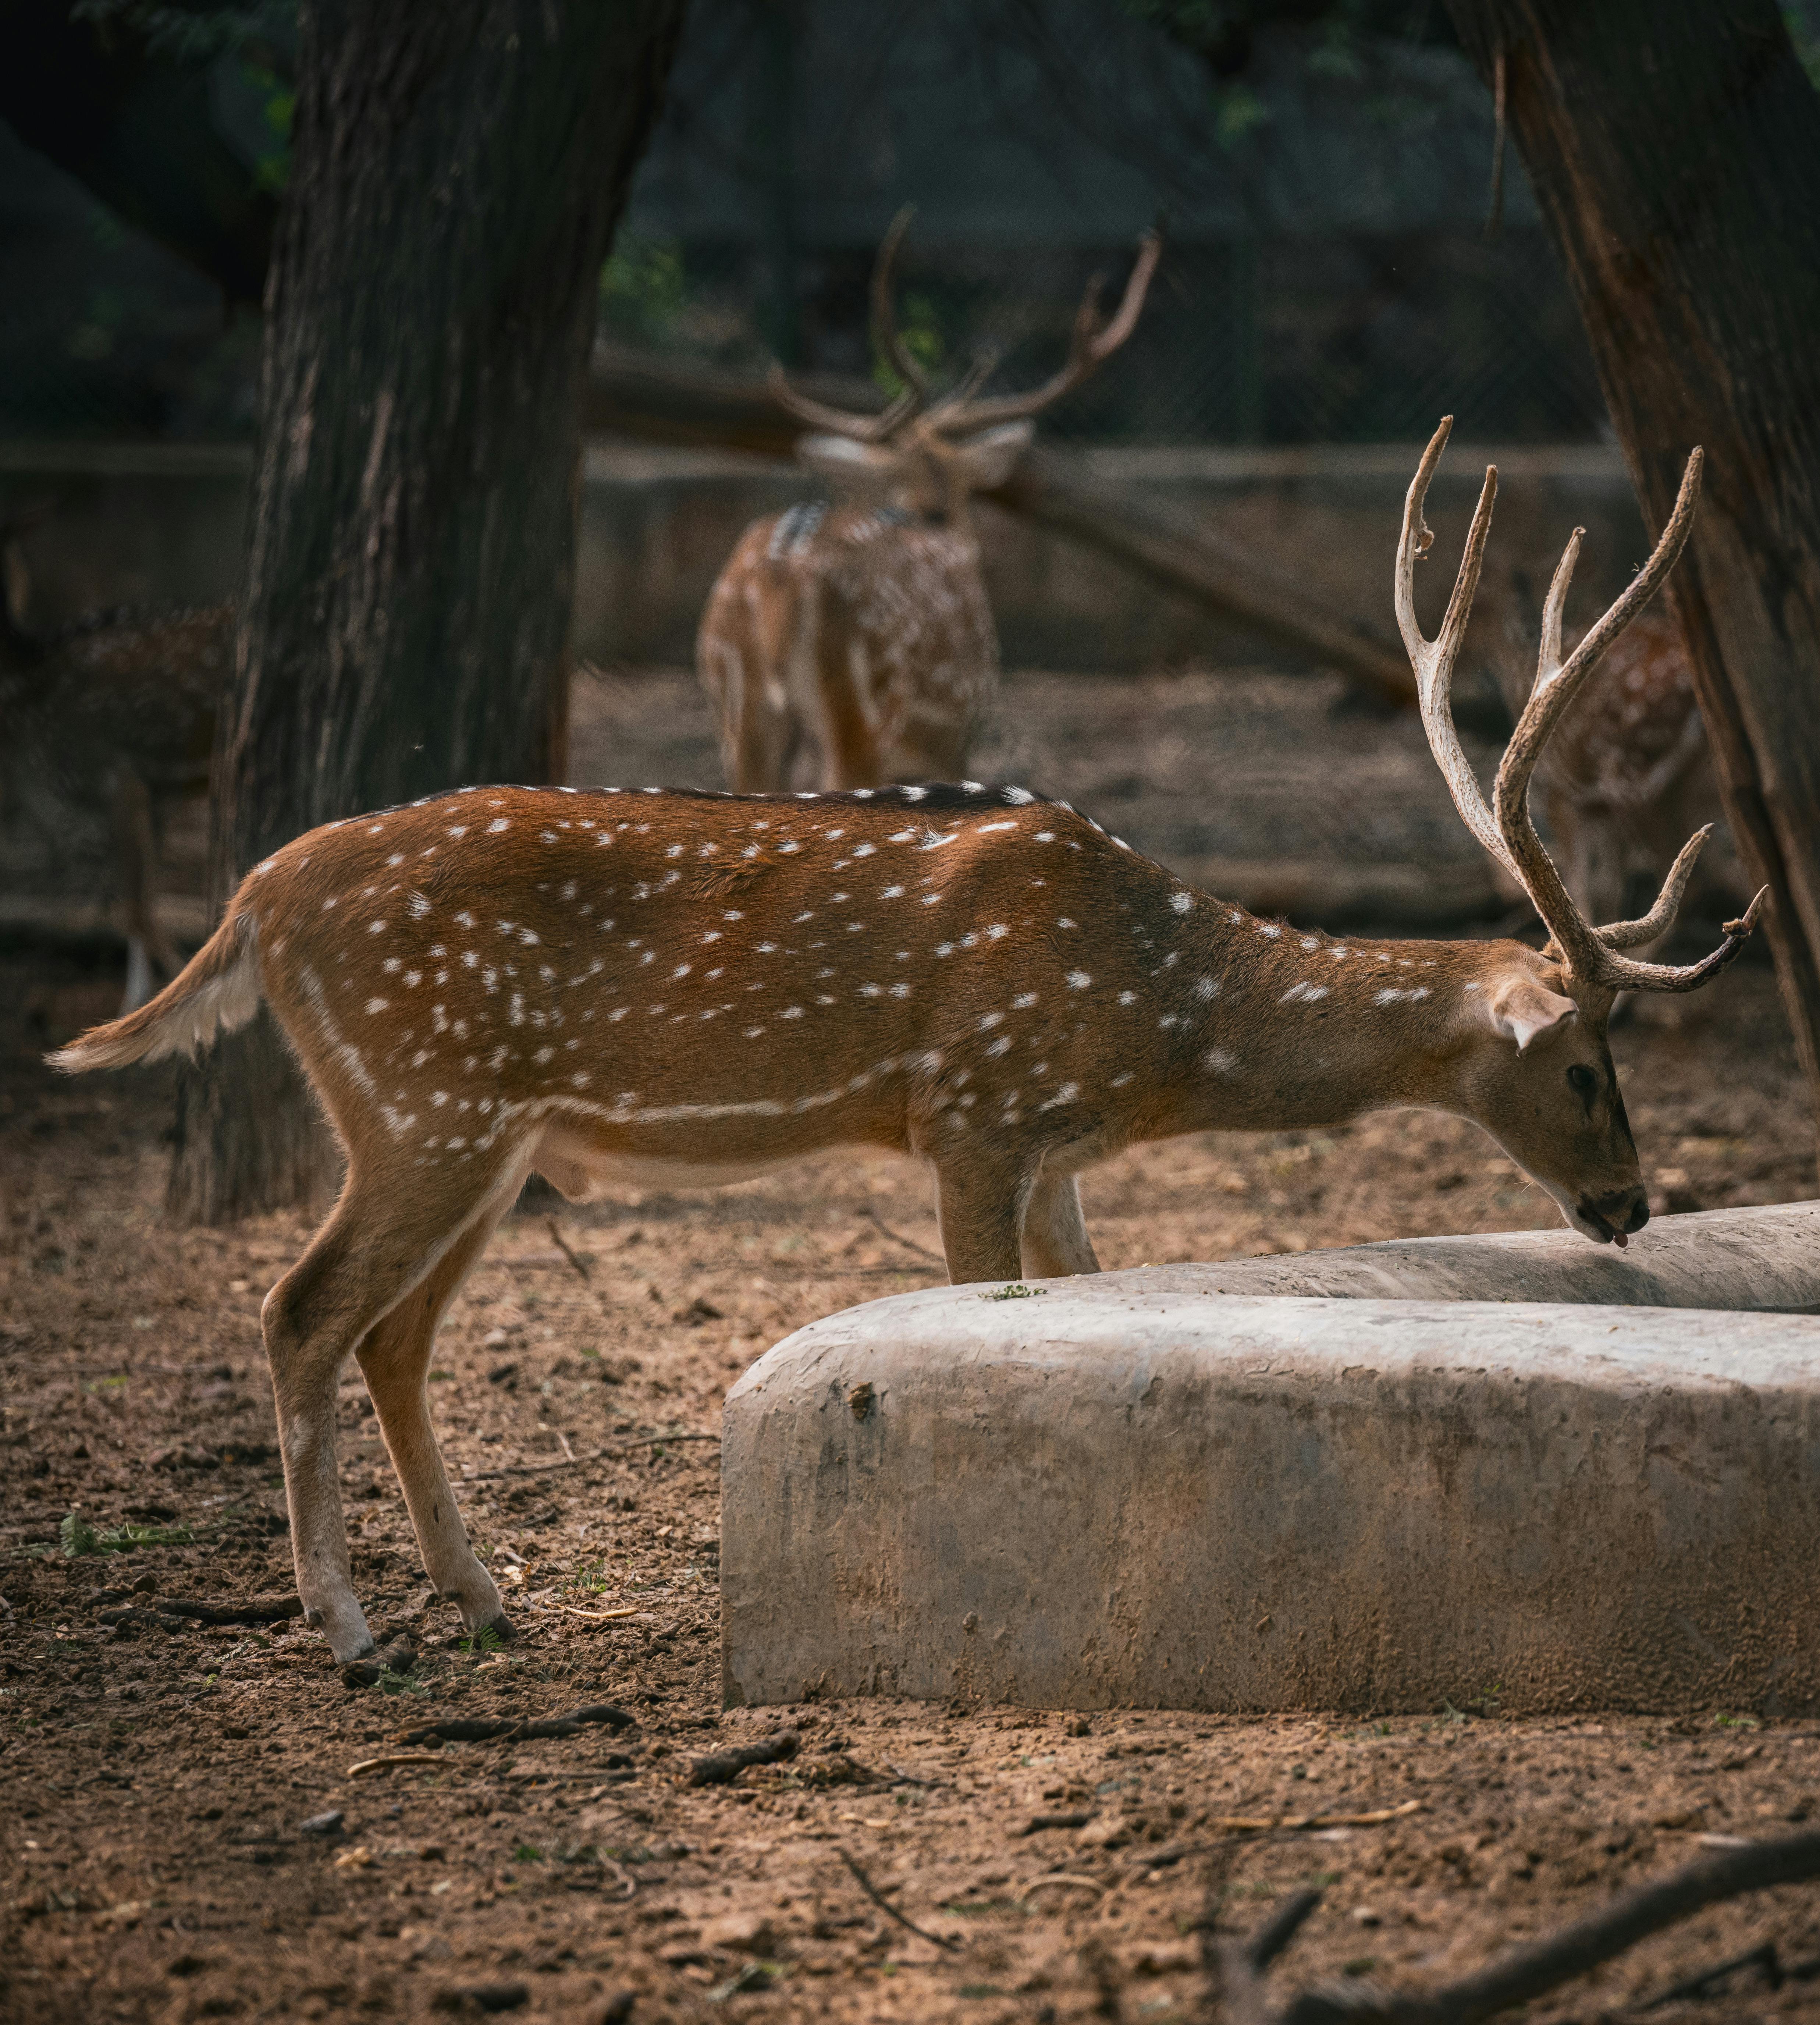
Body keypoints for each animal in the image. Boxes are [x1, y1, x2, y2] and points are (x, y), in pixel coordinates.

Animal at [44, 416, 1763, 1672]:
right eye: (1583, 1064)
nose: (1629, 1204)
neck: (1152, 1012)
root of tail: (257, 896)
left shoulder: (1051, 1142)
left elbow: (1088, 1305)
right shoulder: (975, 1106)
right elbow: (975, 1308)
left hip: (484, 1133)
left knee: (390, 1335)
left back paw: (486, 1597)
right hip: (422, 1099)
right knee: (300, 1309)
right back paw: (349, 1630)